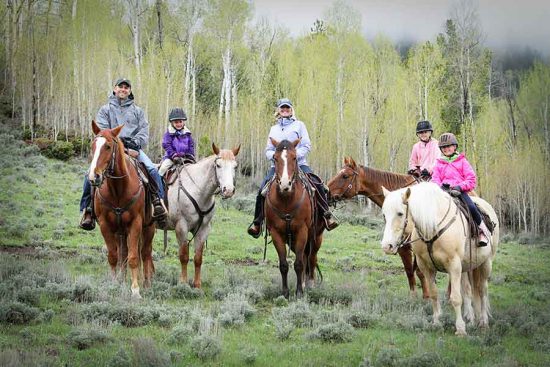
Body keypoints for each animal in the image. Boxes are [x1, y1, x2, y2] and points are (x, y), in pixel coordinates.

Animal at [88, 121, 154, 300]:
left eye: (108, 146)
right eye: (92, 145)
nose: (94, 177)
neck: (118, 189)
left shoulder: (135, 224)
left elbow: (133, 258)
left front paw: (136, 290)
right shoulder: (105, 225)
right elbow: (113, 256)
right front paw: (114, 284)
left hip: (148, 228)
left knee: (145, 253)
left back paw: (147, 284)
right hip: (120, 232)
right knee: (122, 254)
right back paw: (122, 279)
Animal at [165, 144, 240, 290]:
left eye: (235, 166)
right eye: (218, 165)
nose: (228, 190)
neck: (198, 190)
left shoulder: (203, 229)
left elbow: (198, 258)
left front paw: (197, 285)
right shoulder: (181, 227)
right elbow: (184, 256)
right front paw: (183, 283)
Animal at [266, 138, 324, 300]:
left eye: (294, 157)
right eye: (275, 158)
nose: (285, 184)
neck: (286, 199)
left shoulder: (302, 231)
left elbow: (298, 264)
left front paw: (299, 293)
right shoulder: (276, 233)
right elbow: (284, 264)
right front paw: (285, 293)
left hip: (316, 237)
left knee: (311, 258)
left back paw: (309, 284)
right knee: (305, 257)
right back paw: (304, 283)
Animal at [328, 156, 432, 300]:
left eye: (345, 176)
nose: (326, 191)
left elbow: (420, 272)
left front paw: (427, 297)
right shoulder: (402, 248)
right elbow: (410, 271)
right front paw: (414, 297)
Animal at [382, 183, 502, 338]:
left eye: (400, 213)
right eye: (384, 215)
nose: (387, 246)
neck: (433, 227)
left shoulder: (454, 266)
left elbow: (456, 297)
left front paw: (460, 329)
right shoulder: (426, 267)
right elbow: (433, 294)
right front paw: (437, 322)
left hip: (486, 263)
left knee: (482, 290)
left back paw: (483, 322)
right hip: (466, 267)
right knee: (468, 290)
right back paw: (470, 319)